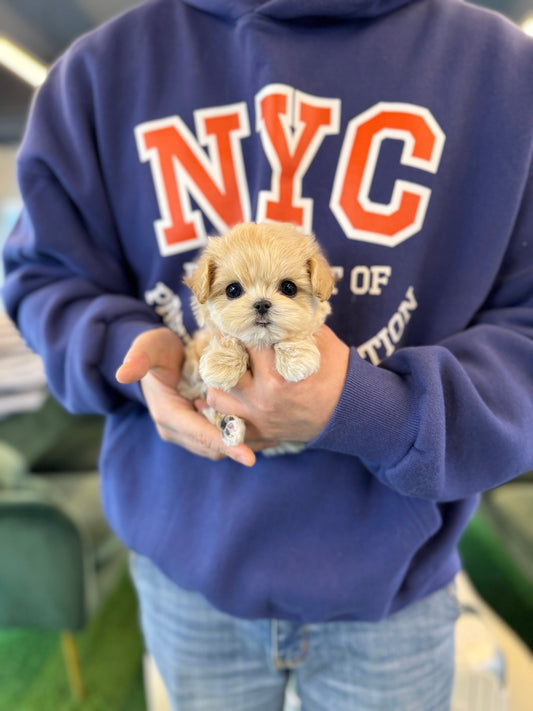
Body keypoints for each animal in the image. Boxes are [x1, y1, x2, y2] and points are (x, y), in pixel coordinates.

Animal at [181, 222, 334, 450]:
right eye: (233, 290)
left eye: (289, 287)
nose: (262, 304)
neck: (261, 341)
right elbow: (226, 337)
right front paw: (222, 364)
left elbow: (299, 330)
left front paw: (297, 359)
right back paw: (229, 424)